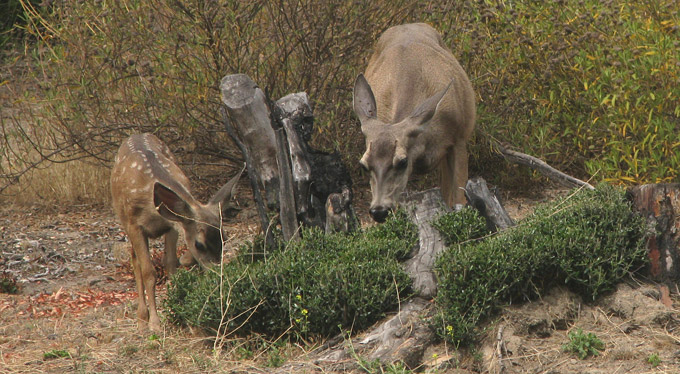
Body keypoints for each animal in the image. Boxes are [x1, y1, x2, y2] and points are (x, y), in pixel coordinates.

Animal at [113, 133, 244, 332]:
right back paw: (142, 318)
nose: (218, 277)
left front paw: (176, 303)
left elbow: (170, 264)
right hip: (124, 219)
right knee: (135, 260)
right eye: (199, 244)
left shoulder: (173, 225)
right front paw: (155, 323)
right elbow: (148, 271)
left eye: (225, 238)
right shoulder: (135, 225)